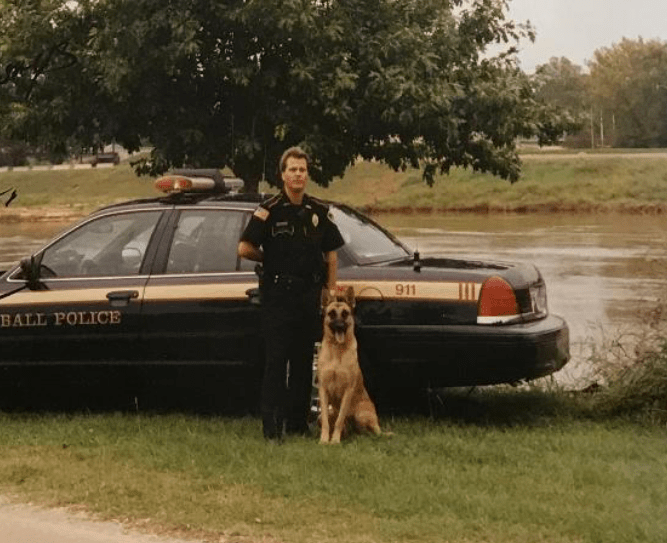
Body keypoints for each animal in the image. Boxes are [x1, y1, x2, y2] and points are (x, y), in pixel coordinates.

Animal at [317, 286, 382, 444]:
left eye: (345, 314)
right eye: (331, 314)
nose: (340, 326)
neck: (337, 351)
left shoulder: (348, 389)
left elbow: (340, 419)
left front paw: (334, 440)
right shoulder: (323, 389)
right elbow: (327, 421)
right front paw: (324, 440)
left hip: (361, 413)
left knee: (376, 430)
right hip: (323, 415)